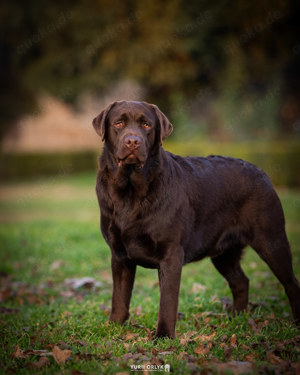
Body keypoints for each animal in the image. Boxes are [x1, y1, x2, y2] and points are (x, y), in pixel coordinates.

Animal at [93, 101, 300, 340]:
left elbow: (167, 302)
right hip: (224, 252)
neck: (130, 192)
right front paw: (114, 327)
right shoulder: (120, 255)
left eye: (146, 125)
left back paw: (294, 322)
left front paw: (163, 336)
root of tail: (262, 172)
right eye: (118, 123)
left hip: (271, 240)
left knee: (291, 283)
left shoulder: (171, 254)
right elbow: (119, 297)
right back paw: (236, 319)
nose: (133, 141)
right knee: (241, 281)